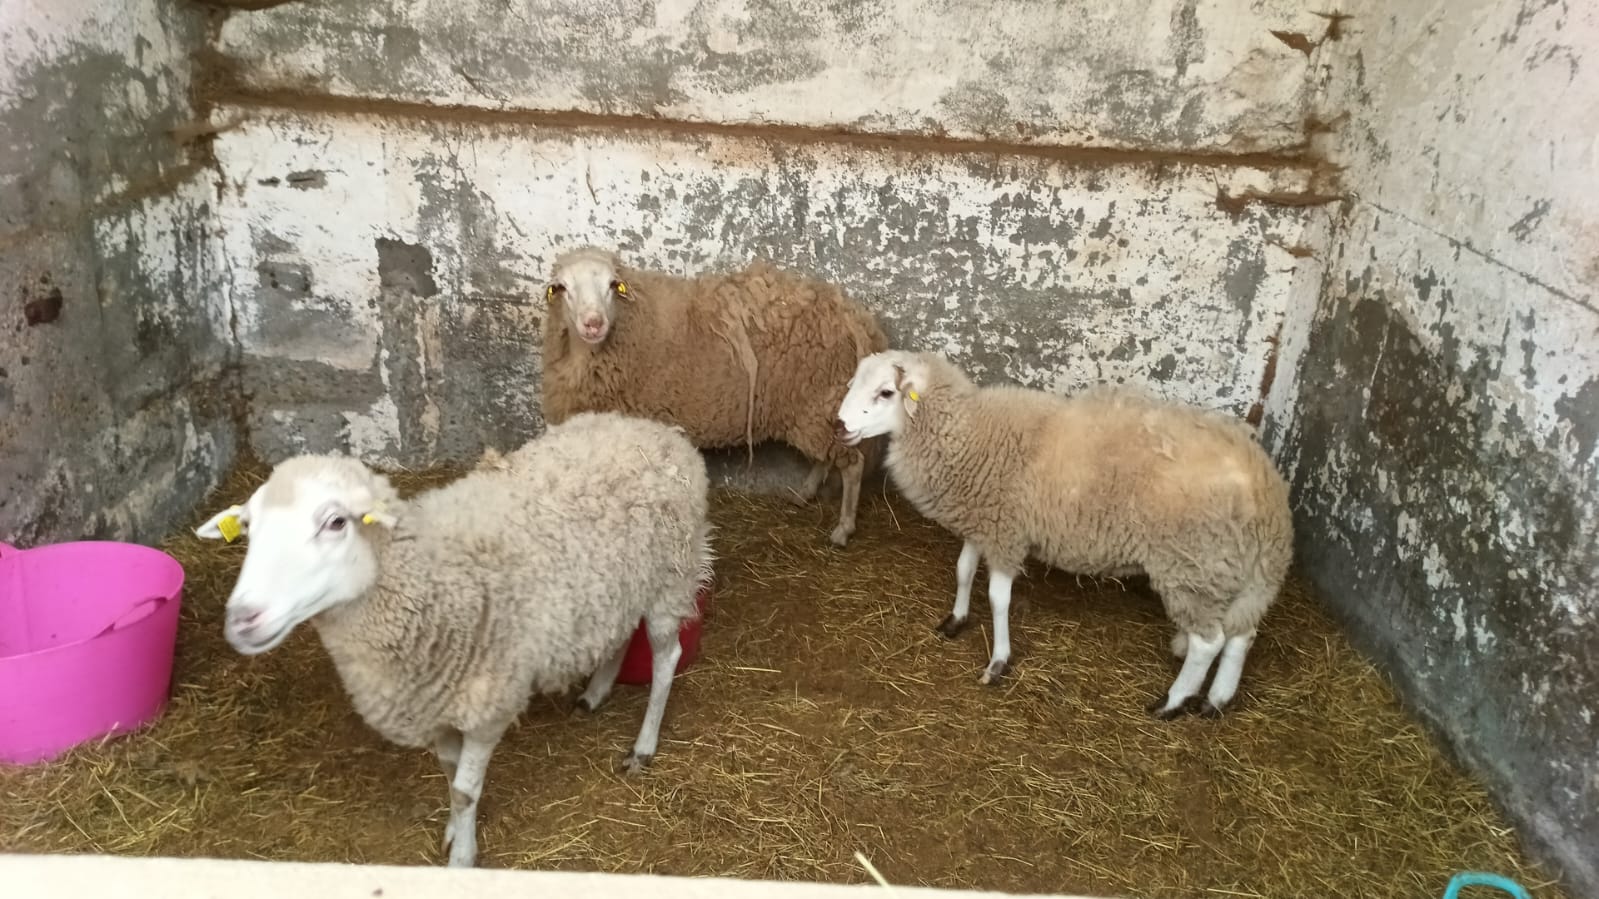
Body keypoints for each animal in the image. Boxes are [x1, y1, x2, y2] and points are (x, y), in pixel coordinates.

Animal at [193, 411, 714, 867]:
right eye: (250, 528)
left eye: (336, 522)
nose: (241, 620)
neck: (431, 577)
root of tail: (652, 426)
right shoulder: (436, 705)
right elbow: (448, 775)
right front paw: (450, 830)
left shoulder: (487, 705)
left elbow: (465, 790)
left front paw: (463, 856)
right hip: (621, 584)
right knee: (620, 632)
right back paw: (597, 691)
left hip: (671, 577)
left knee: (667, 657)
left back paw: (643, 746)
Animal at [540, 246, 889, 547]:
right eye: (562, 287)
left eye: (613, 285)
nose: (593, 323)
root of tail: (855, 315)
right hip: (814, 407)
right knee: (825, 457)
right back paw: (803, 494)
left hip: (819, 402)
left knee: (852, 465)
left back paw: (843, 528)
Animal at [833, 350, 1293, 718]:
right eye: (853, 384)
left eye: (885, 393)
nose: (837, 425)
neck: (969, 433)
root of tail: (1267, 488)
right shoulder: (984, 521)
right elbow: (963, 570)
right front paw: (955, 620)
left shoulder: (1007, 533)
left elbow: (998, 599)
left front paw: (998, 662)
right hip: (1235, 572)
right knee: (1242, 635)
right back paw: (1216, 701)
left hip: (1193, 566)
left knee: (1207, 642)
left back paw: (1173, 702)